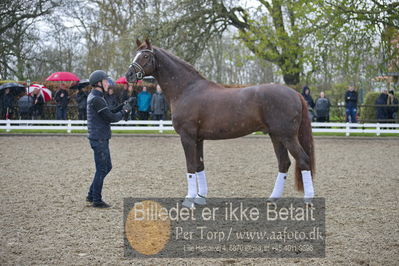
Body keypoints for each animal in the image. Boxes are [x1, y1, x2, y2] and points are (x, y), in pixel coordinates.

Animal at [126, 39, 316, 206]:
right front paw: (200, 198)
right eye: (136, 54)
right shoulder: (198, 138)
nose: (129, 75)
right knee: (284, 163)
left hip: (287, 136)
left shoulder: (187, 137)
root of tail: (295, 93)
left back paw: (308, 200)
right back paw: (272, 199)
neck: (186, 89)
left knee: (303, 160)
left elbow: (190, 166)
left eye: (145, 56)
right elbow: (199, 165)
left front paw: (189, 200)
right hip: (276, 136)